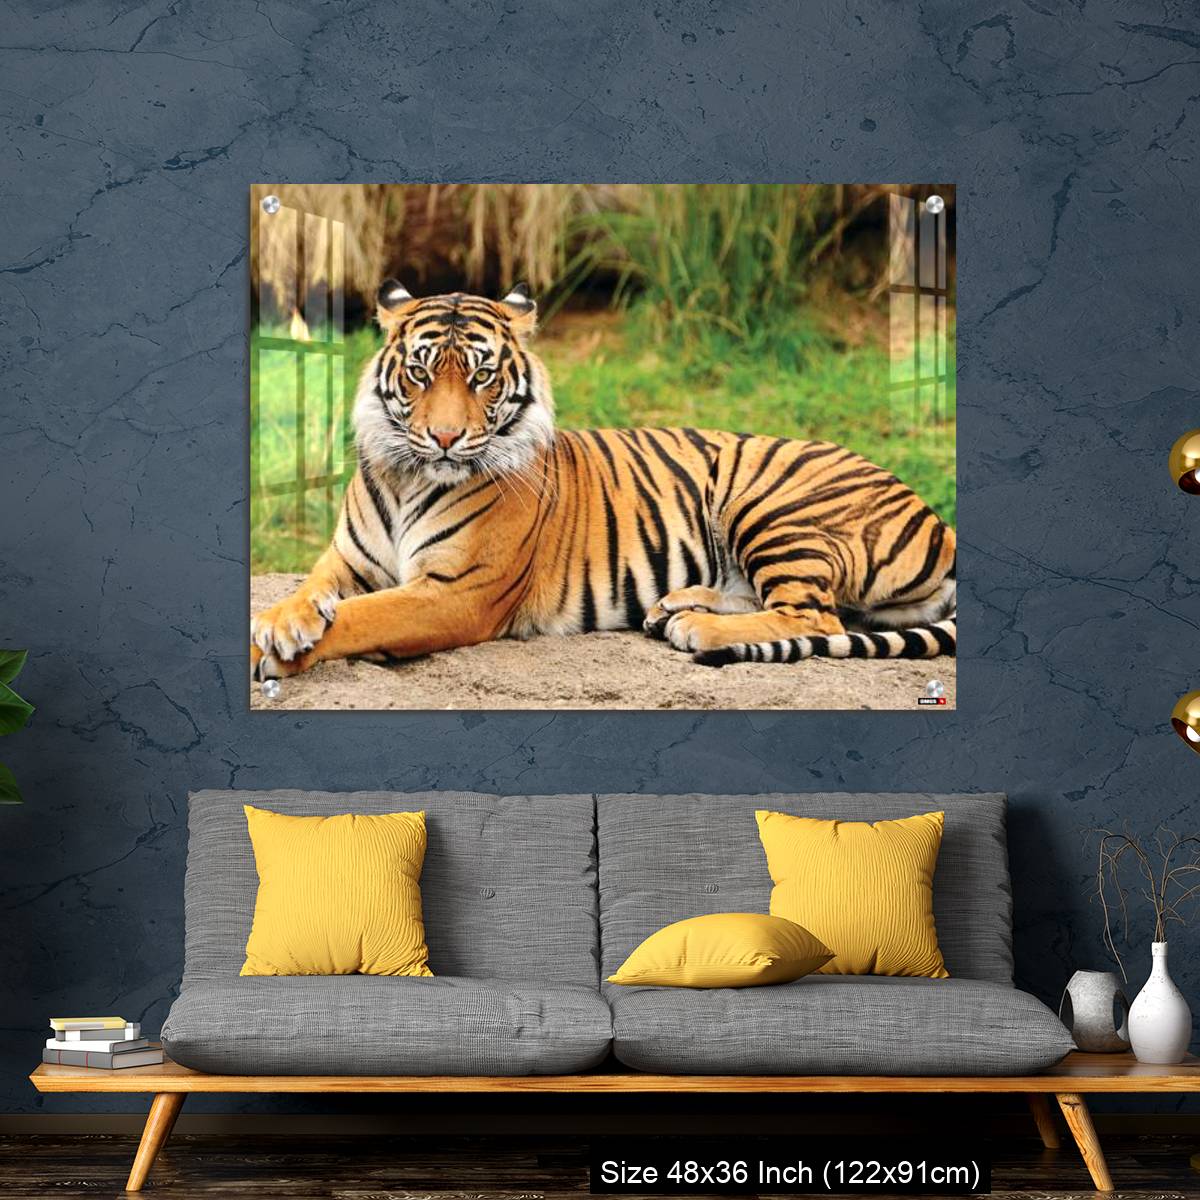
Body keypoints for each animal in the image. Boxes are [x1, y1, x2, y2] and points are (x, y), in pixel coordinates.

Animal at [251, 280, 956, 681]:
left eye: (481, 376)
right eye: (421, 373)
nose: (445, 438)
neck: (406, 477)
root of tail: (940, 524)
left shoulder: (455, 592)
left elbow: (361, 617)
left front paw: (277, 650)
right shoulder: (346, 559)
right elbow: (312, 591)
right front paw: (282, 621)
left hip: (770, 505)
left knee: (813, 614)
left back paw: (697, 628)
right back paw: (676, 606)